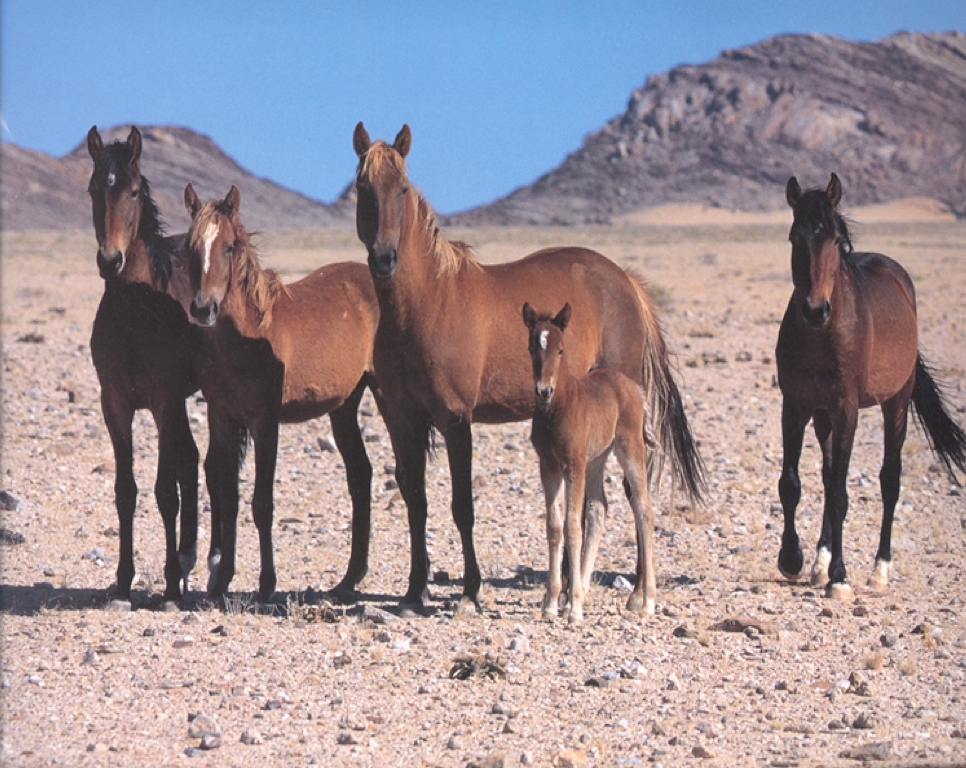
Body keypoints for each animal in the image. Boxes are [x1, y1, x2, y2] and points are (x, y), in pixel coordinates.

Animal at [180, 184, 380, 600]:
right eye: (189, 247)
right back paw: (348, 580)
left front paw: (266, 584)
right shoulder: (222, 418)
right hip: (344, 407)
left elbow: (262, 504)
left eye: (228, 247)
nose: (203, 309)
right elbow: (229, 497)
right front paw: (221, 581)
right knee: (360, 474)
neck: (246, 337)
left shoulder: (265, 422)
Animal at [524, 302, 660, 624]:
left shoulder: (574, 463)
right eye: (532, 347)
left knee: (643, 508)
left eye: (561, 349)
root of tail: (635, 388)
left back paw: (646, 601)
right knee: (600, 508)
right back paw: (584, 589)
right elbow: (554, 526)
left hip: (629, 448)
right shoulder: (548, 466)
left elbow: (573, 526)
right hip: (598, 458)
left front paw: (573, 608)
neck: (557, 409)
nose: (543, 390)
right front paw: (552, 603)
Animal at [780, 174, 966, 600]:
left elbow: (842, 493)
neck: (820, 337)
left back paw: (879, 569)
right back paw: (819, 562)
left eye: (835, 240)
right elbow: (793, 483)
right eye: (795, 237)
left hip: (895, 402)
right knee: (828, 474)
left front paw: (840, 577)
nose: (815, 309)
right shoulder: (794, 405)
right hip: (823, 417)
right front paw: (793, 559)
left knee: (889, 480)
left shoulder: (847, 409)